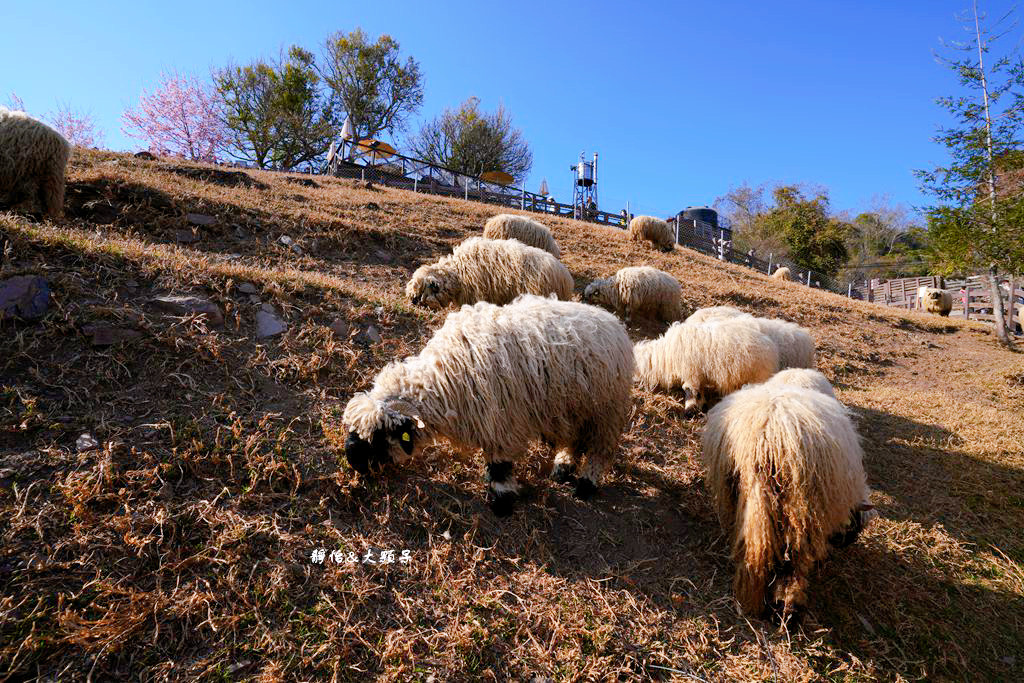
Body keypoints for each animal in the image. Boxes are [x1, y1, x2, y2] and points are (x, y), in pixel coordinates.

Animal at [339, 296, 634, 516]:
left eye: (378, 437)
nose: (353, 461)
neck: (444, 381)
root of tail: (612, 321)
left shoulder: (501, 423)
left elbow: (500, 466)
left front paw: (501, 503)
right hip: (573, 409)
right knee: (572, 442)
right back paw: (563, 468)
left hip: (604, 412)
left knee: (599, 450)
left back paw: (585, 484)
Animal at [630, 319, 774, 413]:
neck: (664, 355)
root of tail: (771, 348)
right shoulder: (698, 374)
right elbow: (699, 390)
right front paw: (701, 404)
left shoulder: (691, 373)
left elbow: (689, 389)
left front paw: (690, 408)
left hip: (758, 377)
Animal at [700, 385, 876, 618]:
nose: (847, 541)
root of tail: (766, 438)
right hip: (802, 507)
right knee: (794, 557)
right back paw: (788, 602)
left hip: (735, 487)